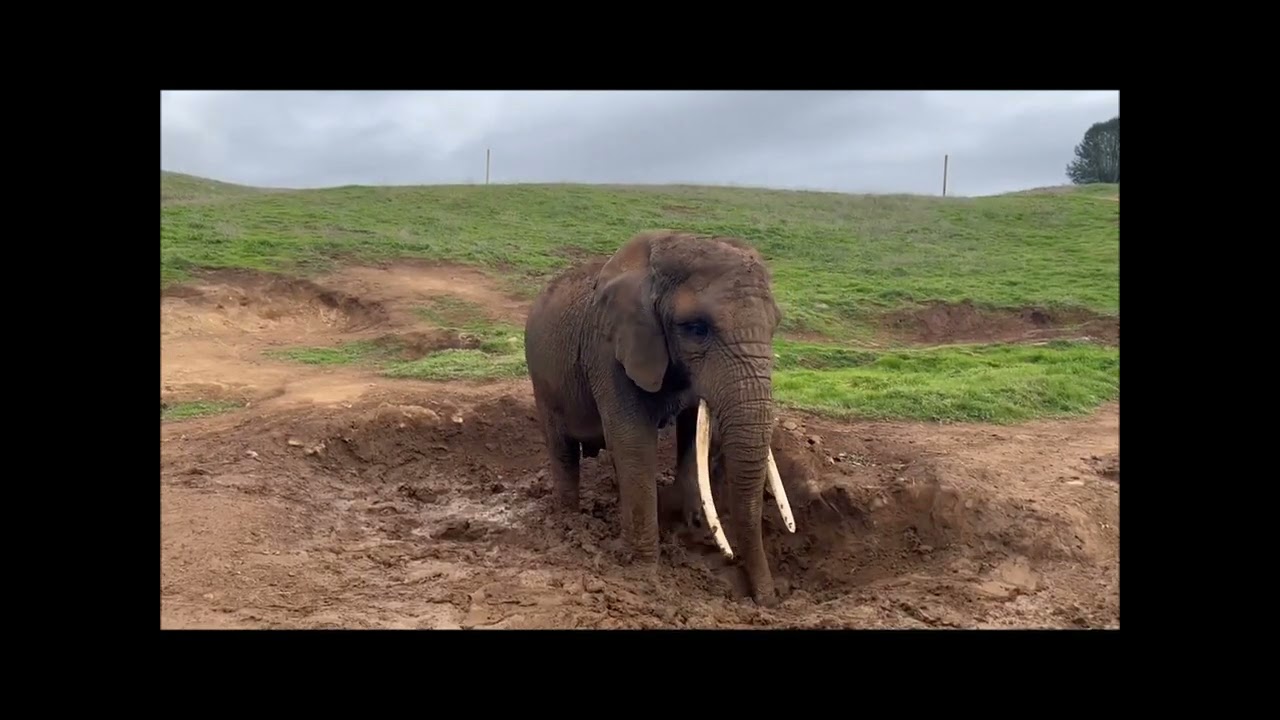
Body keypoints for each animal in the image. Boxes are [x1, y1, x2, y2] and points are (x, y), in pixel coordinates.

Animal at [523, 229, 796, 607]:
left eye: (775, 326)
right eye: (697, 329)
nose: (767, 600)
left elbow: (692, 432)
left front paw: (689, 528)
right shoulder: (609, 350)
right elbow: (634, 442)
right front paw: (644, 575)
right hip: (543, 379)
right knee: (562, 448)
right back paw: (568, 522)